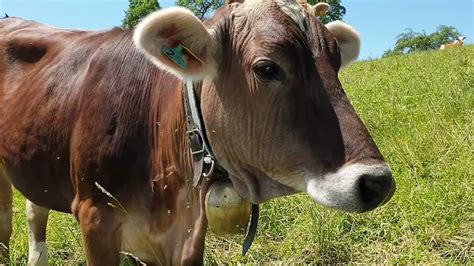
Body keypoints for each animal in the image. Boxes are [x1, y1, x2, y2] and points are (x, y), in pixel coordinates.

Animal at [0, 0, 394, 264]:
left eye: (336, 63)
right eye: (267, 68)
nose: (376, 182)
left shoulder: (189, 233)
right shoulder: (95, 218)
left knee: (35, 209)